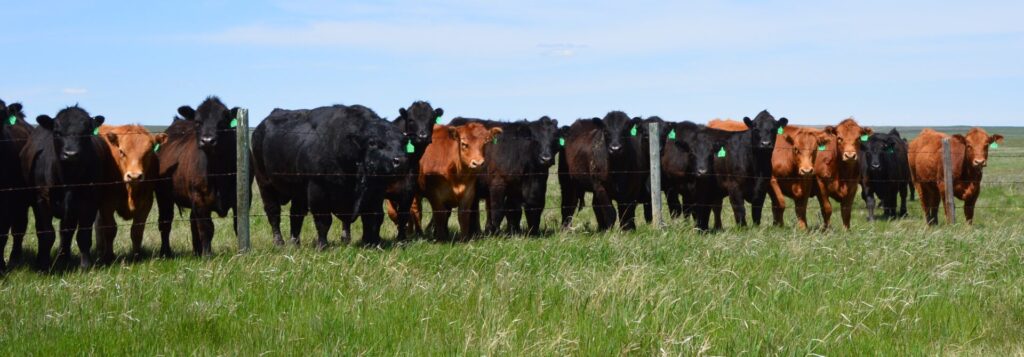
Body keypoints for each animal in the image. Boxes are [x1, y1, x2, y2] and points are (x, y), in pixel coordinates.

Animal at [20, 104, 105, 265]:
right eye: (57, 132)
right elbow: (47, 234)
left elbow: (83, 235)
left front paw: (86, 265)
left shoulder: (91, 201)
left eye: (85, 133)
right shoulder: (42, 201)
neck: (68, 179)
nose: (70, 154)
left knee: (66, 232)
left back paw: (63, 258)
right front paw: (43, 263)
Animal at [97, 125, 167, 261]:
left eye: (148, 152)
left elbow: (137, 231)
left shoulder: (146, 203)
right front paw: (109, 256)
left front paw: (136, 256)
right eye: (121, 152)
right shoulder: (106, 204)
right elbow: (110, 229)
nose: (134, 176)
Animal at [155, 96, 239, 255]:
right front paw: (207, 255)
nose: (207, 141)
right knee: (165, 222)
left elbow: (238, 225)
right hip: (163, 197)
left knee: (192, 222)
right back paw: (165, 252)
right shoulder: (200, 200)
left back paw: (196, 251)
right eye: (198, 122)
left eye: (222, 122)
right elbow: (206, 228)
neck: (217, 172)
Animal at [252, 104, 407, 246]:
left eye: (403, 142)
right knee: (273, 212)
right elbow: (324, 220)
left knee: (296, 214)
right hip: (264, 182)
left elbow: (373, 218)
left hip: (298, 192)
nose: (401, 160)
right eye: (372, 142)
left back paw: (294, 243)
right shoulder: (318, 189)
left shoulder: (375, 193)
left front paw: (372, 243)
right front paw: (322, 245)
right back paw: (279, 242)